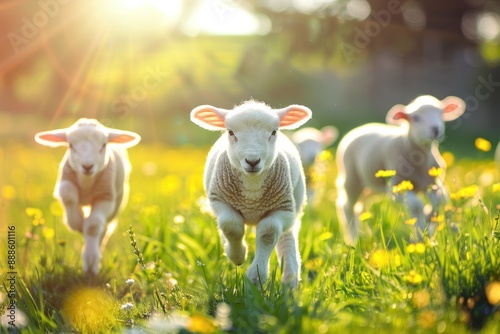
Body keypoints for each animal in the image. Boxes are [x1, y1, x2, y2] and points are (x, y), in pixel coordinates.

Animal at [34, 119, 141, 274]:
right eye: (70, 145)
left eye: (104, 145)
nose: (87, 166)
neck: (86, 184)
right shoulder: (65, 183)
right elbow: (68, 195)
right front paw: (77, 222)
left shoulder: (106, 197)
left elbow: (92, 226)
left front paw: (91, 261)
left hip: (117, 202)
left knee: (103, 230)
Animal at [189, 100, 310, 288]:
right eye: (231, 132)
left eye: (274, 132)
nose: (252, 161)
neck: (252, 193)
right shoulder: (219, 201)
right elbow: (230, 226)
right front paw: (237, 256)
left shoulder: (283, 209)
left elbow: (268, 233)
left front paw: (256, 277)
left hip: (294, 208)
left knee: (286, 239)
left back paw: (290, 283)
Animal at [334, 94, 466, 245]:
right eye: (416, 118)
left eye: (440, 113)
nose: (435, 129)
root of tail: (360, 127)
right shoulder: (395, 187)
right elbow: (416, 206)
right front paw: (420, 230)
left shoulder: (433, 182)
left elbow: (440, 201)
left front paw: (427, 222)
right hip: (351, 178)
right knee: (346, 206)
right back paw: (353, 239)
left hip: (370, 185)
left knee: (358, 206)